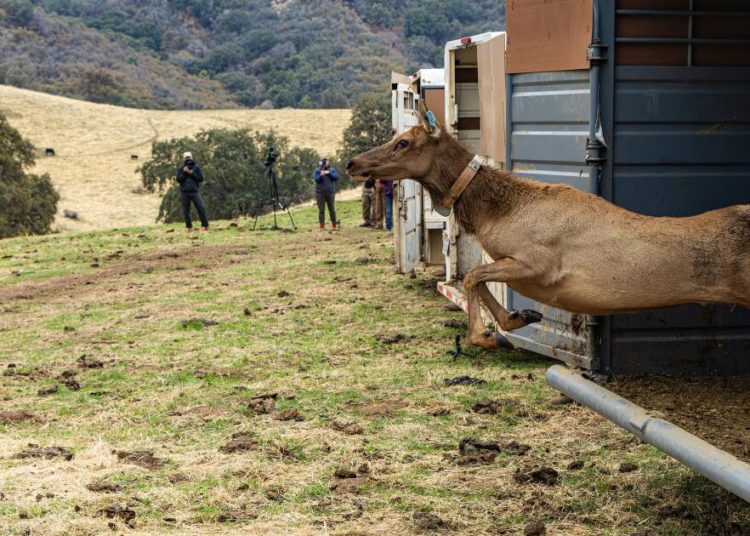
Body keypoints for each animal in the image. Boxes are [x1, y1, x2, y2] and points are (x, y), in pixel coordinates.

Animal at [346, 107, 750, 351]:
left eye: (402, 142)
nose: (352, 163)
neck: (493, 212)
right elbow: (479, 279)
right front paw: (516, 318)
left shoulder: (538, 264)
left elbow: (473, 276)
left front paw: (488, 335)